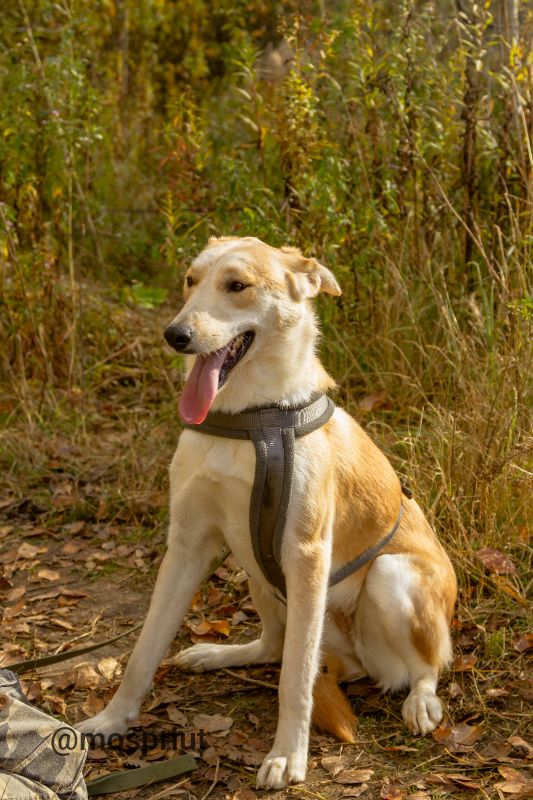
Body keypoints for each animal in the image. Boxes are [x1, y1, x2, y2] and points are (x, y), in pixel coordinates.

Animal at [77, 236, 456, 788]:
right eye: (191, 281)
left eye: (238, 285)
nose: (175, 335)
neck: (253, 420)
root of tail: (350, 660)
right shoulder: (187, 545)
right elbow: (144, 649)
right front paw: (112, 719)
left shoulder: (306, 556)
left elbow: (295, 679)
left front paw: (287, 756)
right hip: (255, 572)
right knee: (274, 645)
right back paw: (220, 653)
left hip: (391, 575)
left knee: (424, 663)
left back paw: (421, 700)